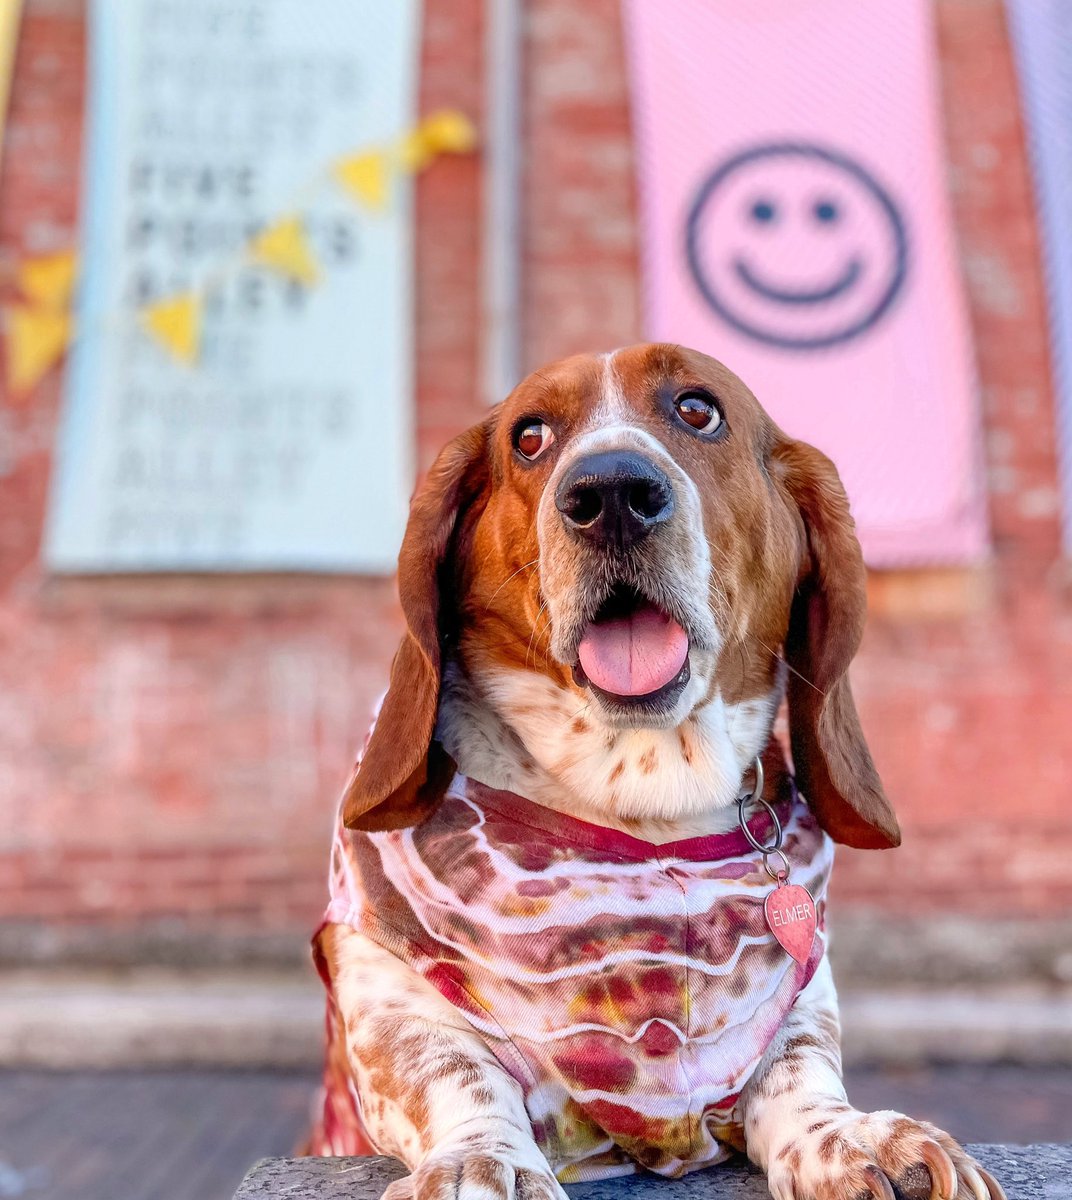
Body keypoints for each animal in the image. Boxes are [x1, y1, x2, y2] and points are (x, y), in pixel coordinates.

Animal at [303, 348, 1003, 1200]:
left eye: (698, 410)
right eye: (529, 437)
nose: (610, 493)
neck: (642, 799)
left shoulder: (799, 996)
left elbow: (799, 1066)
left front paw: (847, 1137)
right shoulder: (384, 991)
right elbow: (452, 1070)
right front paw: (483, 1162)